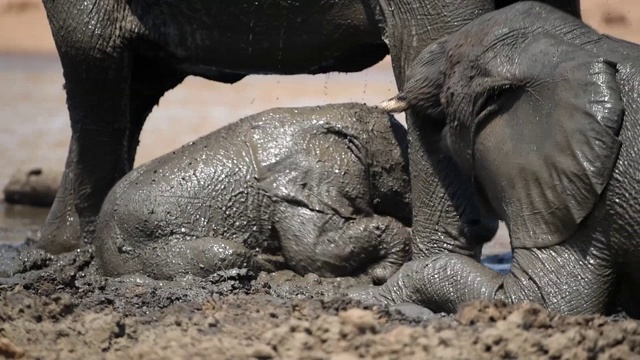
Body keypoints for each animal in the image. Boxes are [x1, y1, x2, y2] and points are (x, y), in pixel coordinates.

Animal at [96, 103, 416, 284]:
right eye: (404, 168)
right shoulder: (293, 189)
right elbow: (312, 254)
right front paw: (378, 274)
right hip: (146, 249)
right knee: (226, 252)